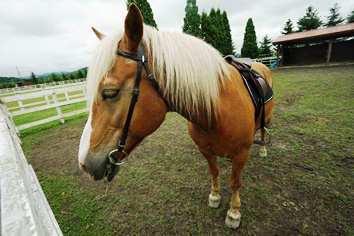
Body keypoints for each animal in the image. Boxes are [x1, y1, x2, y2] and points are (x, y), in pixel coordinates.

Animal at [79, 3, 276, 229]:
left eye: (110, 92)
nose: (84, 165)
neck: (216, 113)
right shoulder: (205, 150)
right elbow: (214, 172)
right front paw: (215, 197)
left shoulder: (241, 153)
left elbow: (235, 182)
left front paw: (234, 213)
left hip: (267, 120)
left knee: (263, 130)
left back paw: (262, 149)